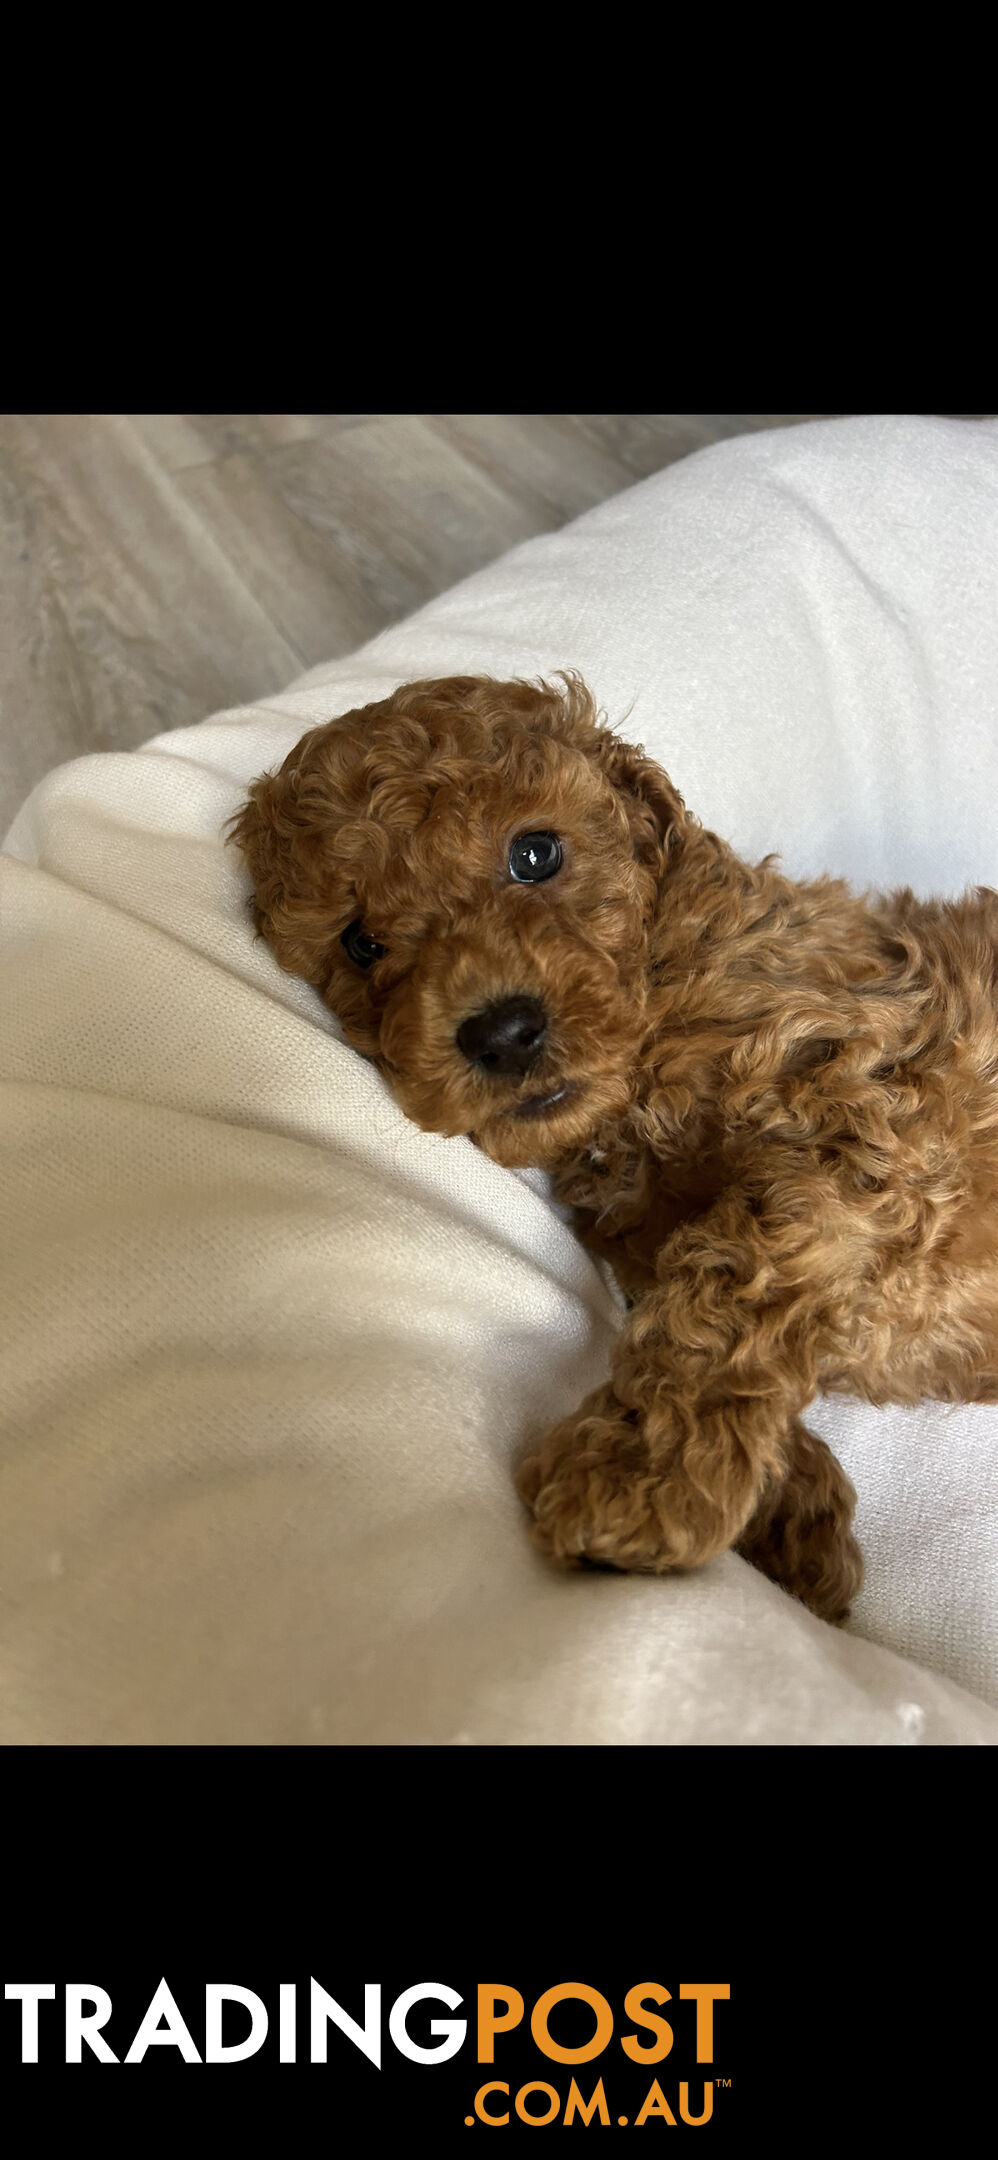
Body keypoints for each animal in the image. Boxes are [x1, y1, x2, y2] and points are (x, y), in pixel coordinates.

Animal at [227, 669, 998, 1624]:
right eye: (360, 943)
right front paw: (798, 1523)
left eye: (534, 855)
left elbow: (731, 1283)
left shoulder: (867, 1104)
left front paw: (631, 1481)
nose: (501, 1033)